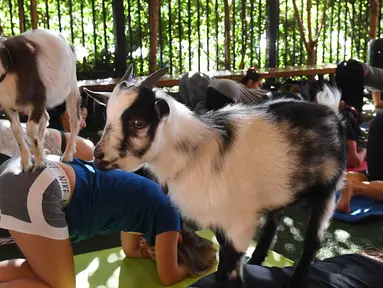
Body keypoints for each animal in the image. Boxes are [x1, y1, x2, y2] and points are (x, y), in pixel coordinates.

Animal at [0, 29, 81, 171]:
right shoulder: (7, 106)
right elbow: (16, 131)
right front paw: (26, 163)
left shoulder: (37, 98)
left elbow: (31, 128)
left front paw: (39, 163)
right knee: (45, 118)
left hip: (72, 87)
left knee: (74, 120)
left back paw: (67, 155)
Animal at [85, 67, 350, 288]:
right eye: (107, 118)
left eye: (138, 122)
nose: (98, 157)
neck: (196, 152)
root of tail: (332, 113)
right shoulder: (219, 218)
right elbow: (223, 256)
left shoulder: (239, 223)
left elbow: (231, 266)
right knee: (273, 225)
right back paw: (256, 260)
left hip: (327, 190)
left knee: (313, 239)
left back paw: (296, 279)